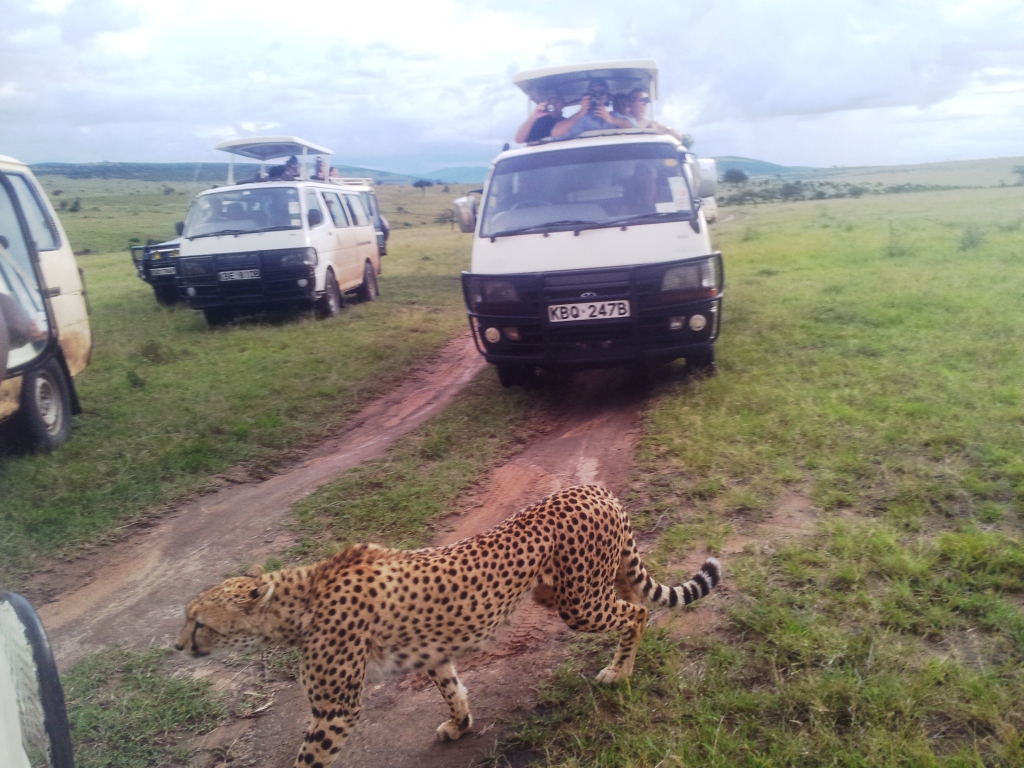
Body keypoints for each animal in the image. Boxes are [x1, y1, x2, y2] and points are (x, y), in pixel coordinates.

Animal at [175, 484, 720, 768]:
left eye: (197, 622)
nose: (179, 646)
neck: (299, 601)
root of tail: (591, 489)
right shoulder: (433, 652)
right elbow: (453, 689)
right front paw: (460, 726)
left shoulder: (335, 710)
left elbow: (309, 759)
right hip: (582, 587)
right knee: (639, 602)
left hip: (579, 603)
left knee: (638, 612)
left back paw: (620, 671)